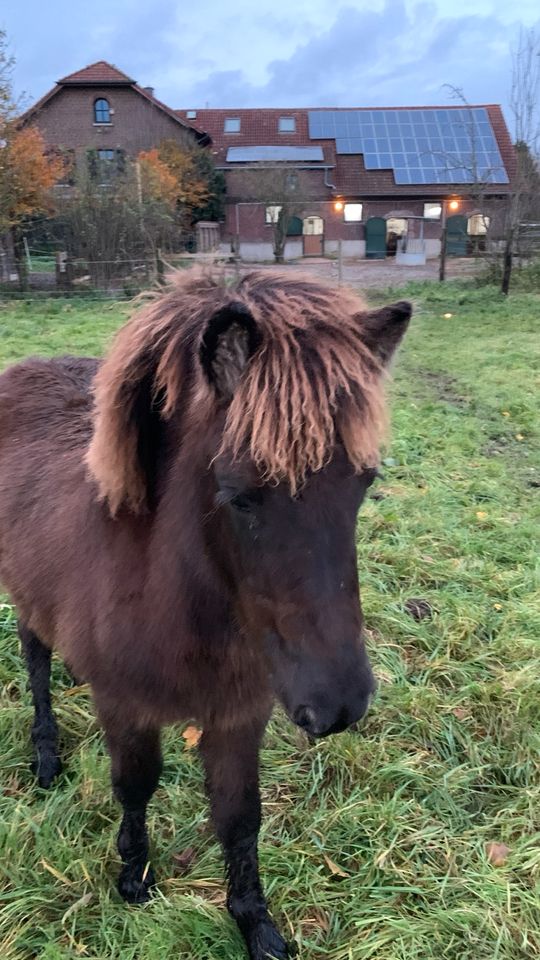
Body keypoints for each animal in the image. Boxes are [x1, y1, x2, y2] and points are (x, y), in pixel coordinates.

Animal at [0, 270, 410, 960]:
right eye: (240, 496)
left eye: (365, 481)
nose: (339, 707)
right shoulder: (127, 708)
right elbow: (135, 785)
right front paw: (133, 877)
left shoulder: (239, 715)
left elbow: (240, 816)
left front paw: (255, 924)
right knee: (35, 664)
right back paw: (47, 760)